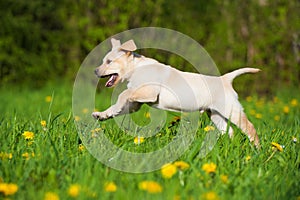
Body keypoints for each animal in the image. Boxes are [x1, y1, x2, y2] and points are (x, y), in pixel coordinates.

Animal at [92, 38, 258, 147]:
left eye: (108, 62)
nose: (95, 71)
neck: (136, 68)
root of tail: (225, 79)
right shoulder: (136, 104)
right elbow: (119, 105)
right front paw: (103, 115)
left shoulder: (149, 92)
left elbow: (124, 93)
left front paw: (115, 106)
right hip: (215, 114)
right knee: (229, 131)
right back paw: (229, 147)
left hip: (231, 110)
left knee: (251, 129)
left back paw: (257, 150)